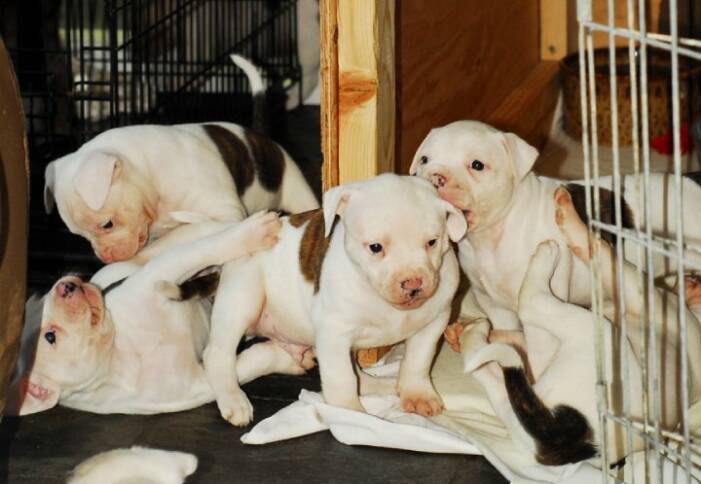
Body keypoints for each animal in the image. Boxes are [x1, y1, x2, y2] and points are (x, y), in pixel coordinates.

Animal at [202, 173, 464, 424]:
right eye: (375, 247)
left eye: (432, 242)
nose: (413, 283)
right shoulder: (334, 334)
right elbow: (342, 377)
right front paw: (350, 414)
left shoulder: (434, 322)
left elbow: (418, 360)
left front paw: (418, 393)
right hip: (242, 297)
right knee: (217, 353)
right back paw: (233, 399)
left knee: (360, 376)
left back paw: (383, 385)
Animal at [460, 188, 700, 466]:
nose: (688, 279)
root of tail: (572, 438)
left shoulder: (633, 287)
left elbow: (598, 249)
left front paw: (568, 216)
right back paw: (470, 333)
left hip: (595, 334)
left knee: (531, 303)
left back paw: (545, 255)